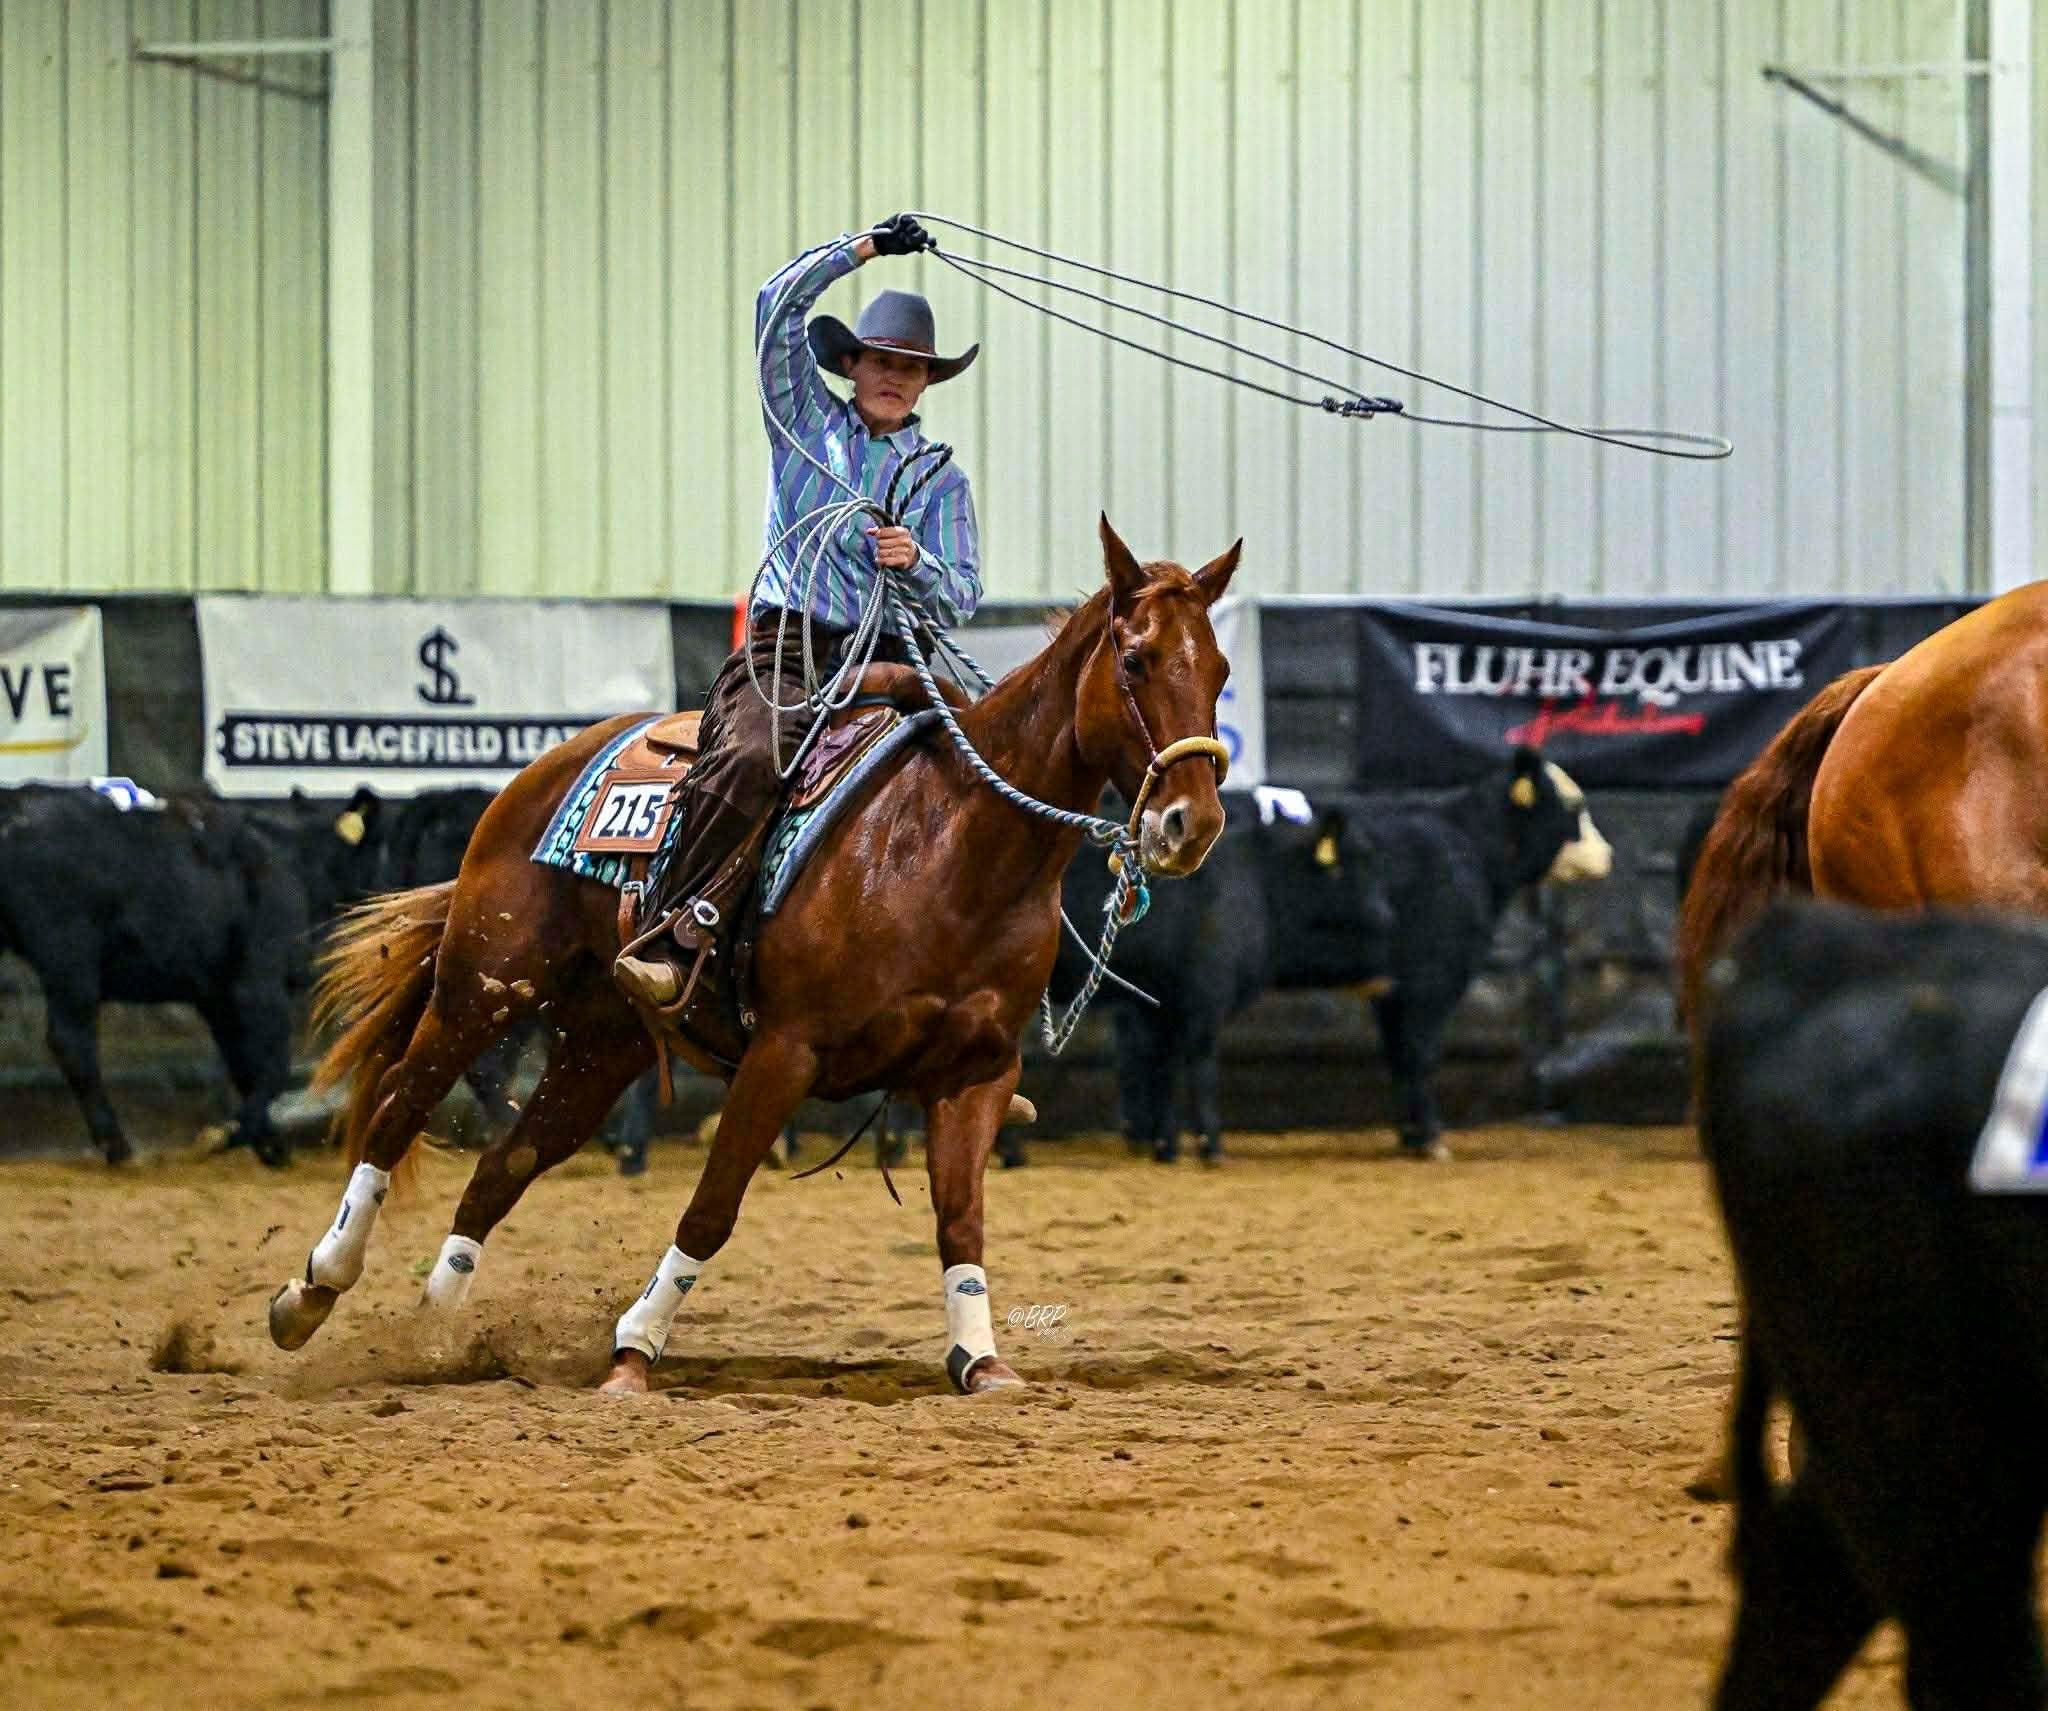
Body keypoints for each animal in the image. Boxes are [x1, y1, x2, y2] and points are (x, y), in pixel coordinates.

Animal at [0, 784, 374, 1166]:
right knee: (72, 1043)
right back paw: (117, 1146)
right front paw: (225, 1135)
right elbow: (272, 1066)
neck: (298, 860)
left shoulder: (218, 997)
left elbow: (244, 1065)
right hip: (71, 960)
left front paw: (269, 1142)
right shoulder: (258, 987)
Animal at [1063, 746, 1610, 1163]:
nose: (1607, 856)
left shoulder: (1394, 992)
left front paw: (1411, 1136)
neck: (1467, 845)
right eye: (1574, 807)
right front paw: (1431, 1139)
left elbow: (1399, 1056)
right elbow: (1420, 1054)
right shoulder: (1432, 981)